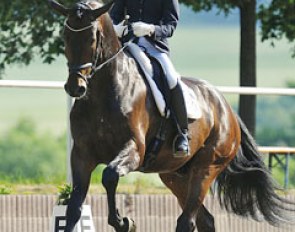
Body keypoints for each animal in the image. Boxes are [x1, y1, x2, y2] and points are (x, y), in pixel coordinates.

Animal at [49, 0, 295, 232]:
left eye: (92, 38)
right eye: (65, 36)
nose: (75, 88)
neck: (103, 92)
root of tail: (227, 109)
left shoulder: (134, 150)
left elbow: (109, 176)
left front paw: (124, 222)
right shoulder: (81, 155)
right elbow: (73, 208)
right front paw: (121, 220)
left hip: (206, 168)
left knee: (187, 220)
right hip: (174, 174)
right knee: (205, 220)